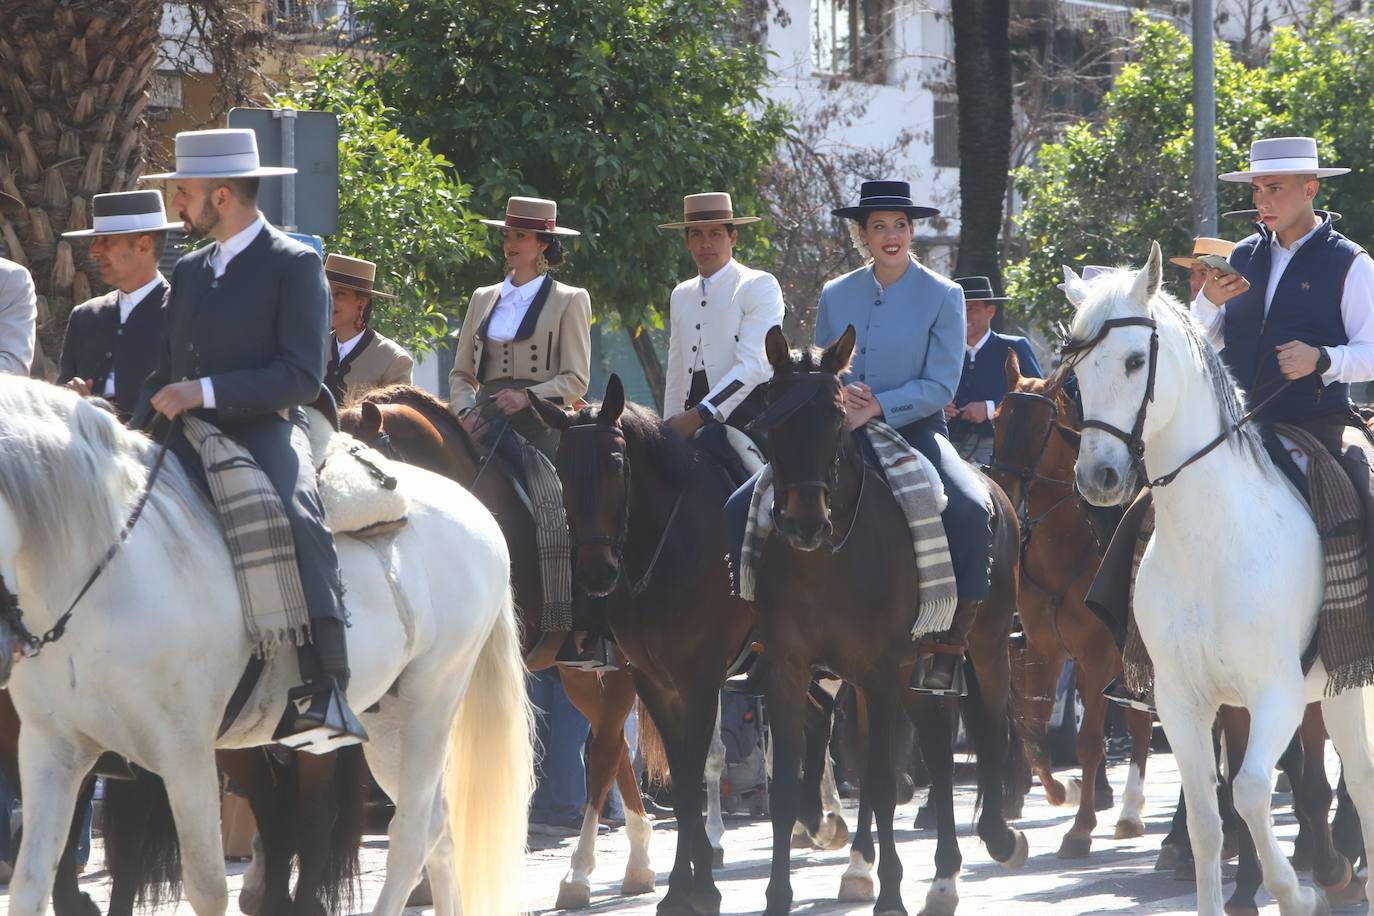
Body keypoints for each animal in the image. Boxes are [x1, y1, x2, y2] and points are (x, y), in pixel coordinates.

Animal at [0, 376, 530, 911]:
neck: (107, 565)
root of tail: (476, 509)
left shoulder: (184, 752)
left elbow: (206, 887)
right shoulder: (52, 749)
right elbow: (30, 884)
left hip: (432, 700)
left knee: (409, 833)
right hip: (390, 722)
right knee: (437, 826)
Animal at [335, 387, 651, 911]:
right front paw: (426, 881)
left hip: (621, 666)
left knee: (606, 751)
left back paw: (581, 874)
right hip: (578, 673)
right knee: (618, 746)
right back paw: (639, 863)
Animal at [530, 373, 758, 916]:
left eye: (616, 464)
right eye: (561, 470)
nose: (595, 574)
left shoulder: (699, 678)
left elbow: (692, 767)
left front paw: (702, 888)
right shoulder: (651, 679)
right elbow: (680, 775)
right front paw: (680, 889)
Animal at [989, 354, 1159, 856]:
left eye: (1040, 425)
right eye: (998, 418)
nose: (1004, 488)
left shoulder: (1096, 658)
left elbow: (1088, 742)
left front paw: (1080, 827)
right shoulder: (1043, 652)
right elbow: (1034, 733)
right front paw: (1059, 790)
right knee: (1140, 725)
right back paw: (1130, 814)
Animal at [1066, 243, 1374, 916]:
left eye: (1135, 360)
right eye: (1075, 370)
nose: (1098, 477)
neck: (1210, 542)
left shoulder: (1277, 691)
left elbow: (1254, 790)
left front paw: (1299, 890)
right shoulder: (1182, 702)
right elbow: (1209, 819)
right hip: (1340, 691)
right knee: (1362, 779)